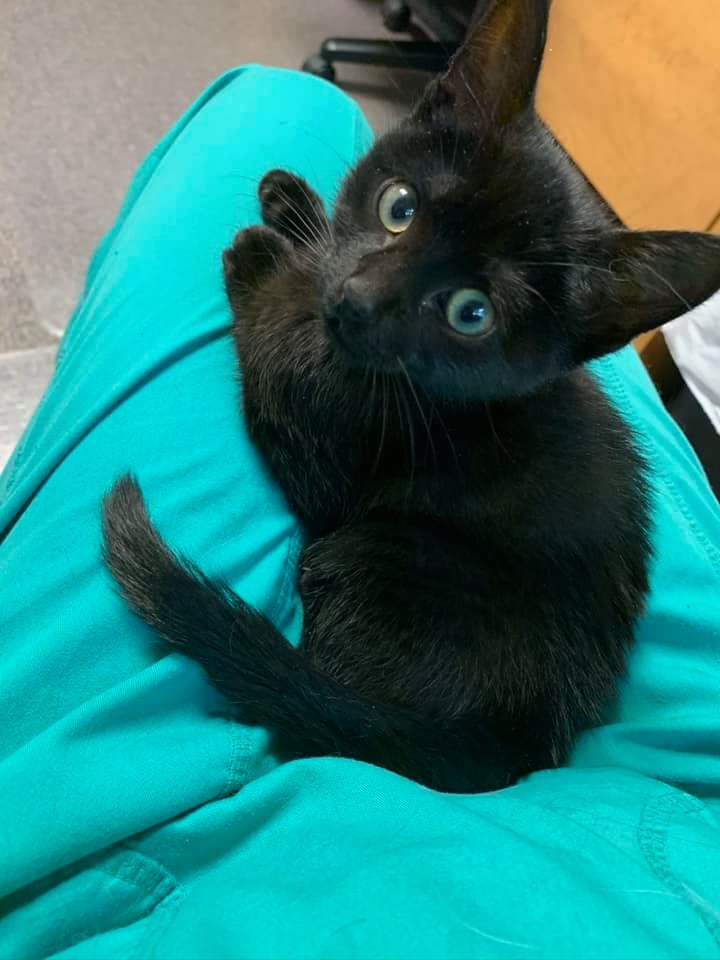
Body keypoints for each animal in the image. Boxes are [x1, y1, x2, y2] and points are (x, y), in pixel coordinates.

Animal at [103, 0, 720, 792]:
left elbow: (276, 347)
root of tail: (517, 739)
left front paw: (264, 262)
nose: (357, 301)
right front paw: (293, 206)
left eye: (471, 313)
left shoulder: (328, 457)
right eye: (399, 206)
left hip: (371, 553)